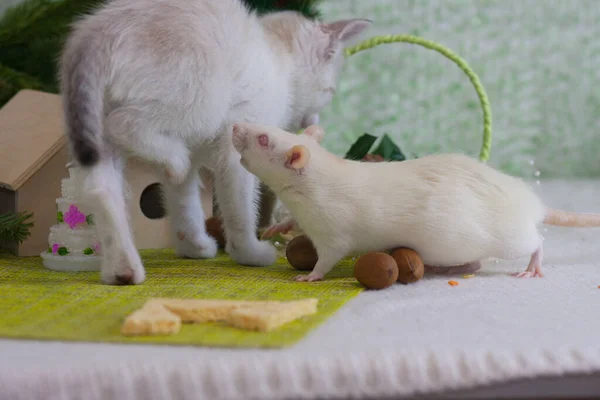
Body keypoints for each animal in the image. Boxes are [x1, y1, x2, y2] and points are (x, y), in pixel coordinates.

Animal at [61, 0, 370, 284]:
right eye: (330, 91)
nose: (315, 119)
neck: (278, 57)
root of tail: (97, 30)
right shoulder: (235, 150)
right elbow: (238, 210)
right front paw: (249, 253)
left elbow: (184, 204)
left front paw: (193, 246)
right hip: (197, 101)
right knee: (124, 123)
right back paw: (175, 160)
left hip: (99, 128)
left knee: (103, 190)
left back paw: (122, 269)